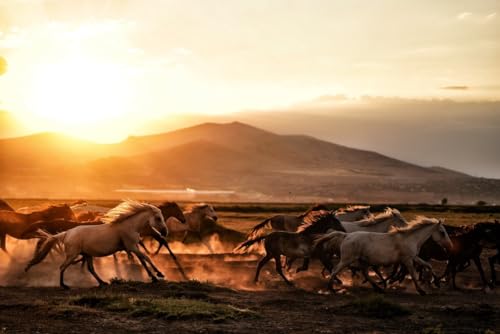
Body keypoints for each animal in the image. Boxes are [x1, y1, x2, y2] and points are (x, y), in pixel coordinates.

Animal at [23, 200, 172, 288]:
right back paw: (64, 285)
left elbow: (143, 260)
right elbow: (146, 258)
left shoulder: (133, 247)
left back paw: (102, 282)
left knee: (90, 269)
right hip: (72, 254)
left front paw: (154, 276)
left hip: (87, 255)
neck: (129, 226)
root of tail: (66, 233)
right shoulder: (131, 247)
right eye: (158, 218)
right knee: (62, 266)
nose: (164, 232)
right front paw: (159, 274)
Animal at [322, 218, 456, 294]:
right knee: (334, 270)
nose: (450, 246)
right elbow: (413, 274)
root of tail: (346, 235)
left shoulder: (413, 257)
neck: (410, 239)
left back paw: (379, 288)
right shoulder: (407, 260)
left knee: (365, 273)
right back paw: (331, 289)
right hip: (347, 259)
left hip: (362, 261)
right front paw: (421, 290)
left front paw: (437, 282)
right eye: (442, 232)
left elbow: (428, 265)